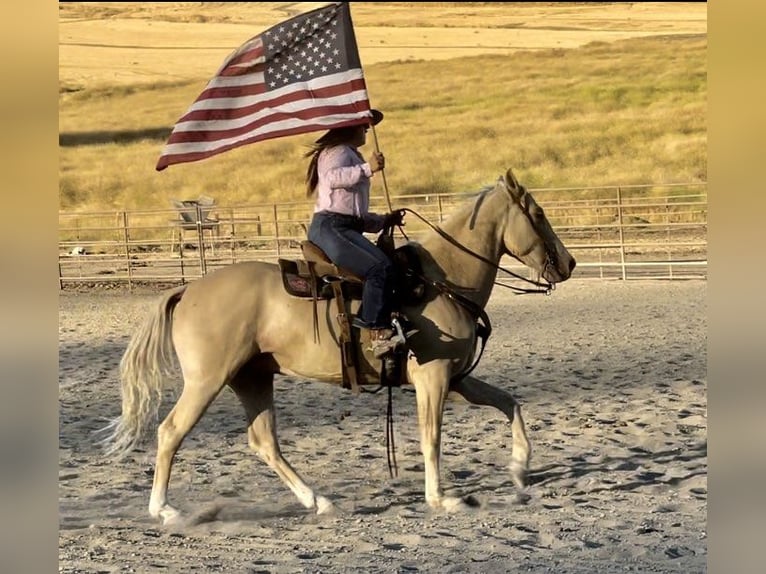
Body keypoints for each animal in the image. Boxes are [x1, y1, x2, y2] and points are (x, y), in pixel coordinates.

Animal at [105, 168, 580, 528]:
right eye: (538, 213)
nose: (570, 263)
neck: (442, 281)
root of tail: (187, 288)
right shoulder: (433, 377)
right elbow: (432, 437)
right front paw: (442, 498)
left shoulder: (455, 377)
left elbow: (508, 402)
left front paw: (519, 467)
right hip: (207, 380)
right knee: (171, 431)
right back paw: (165, 510)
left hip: (251, 377)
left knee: (264, 442)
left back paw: (318, 501)